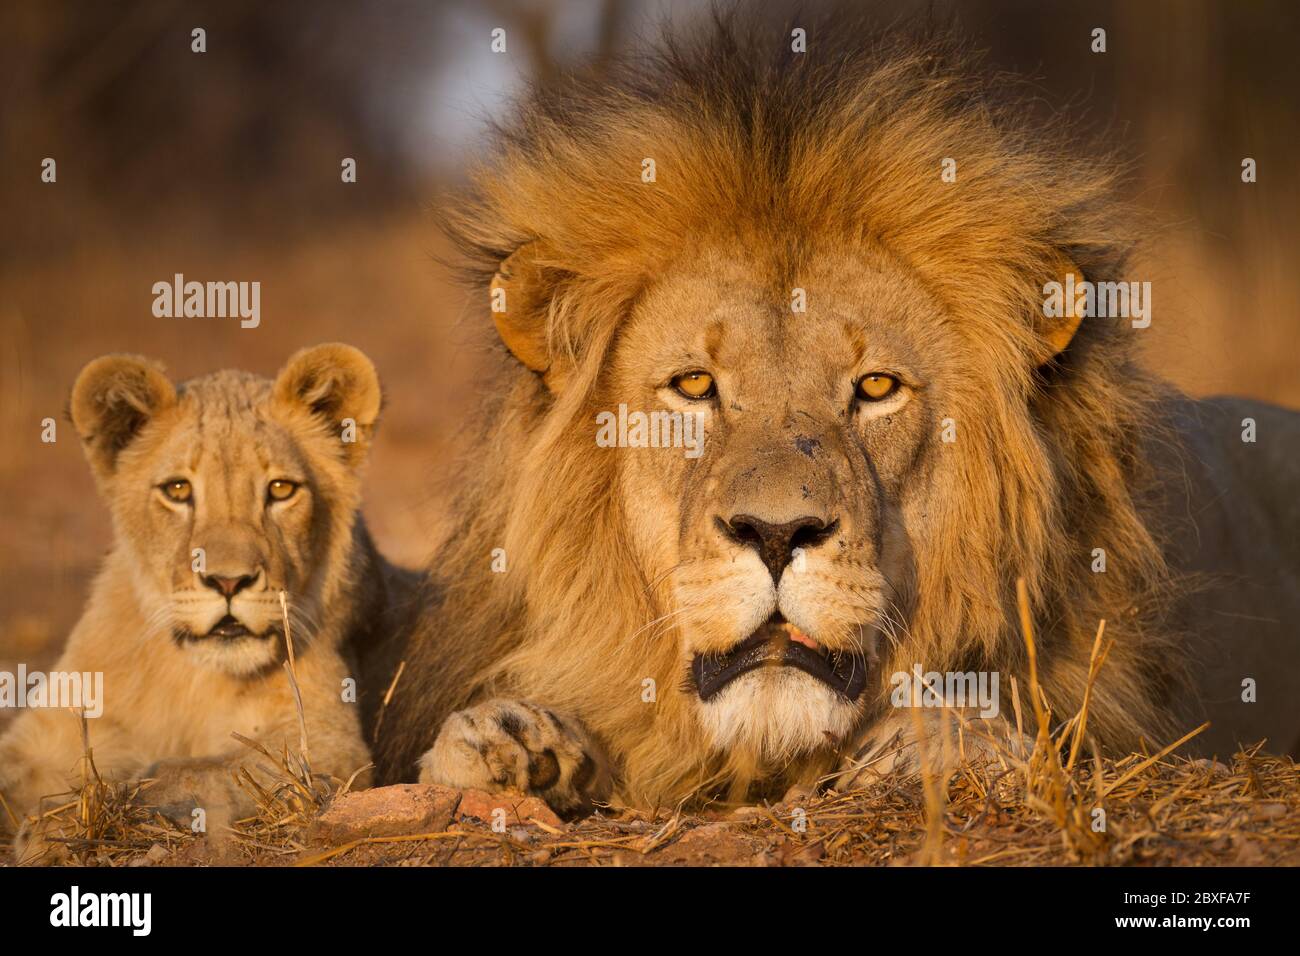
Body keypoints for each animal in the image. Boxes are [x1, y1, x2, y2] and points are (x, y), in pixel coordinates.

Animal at [0, 343, 415, 861]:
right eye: (178, 490)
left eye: (281, 489)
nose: (228, 581)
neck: (189, 676)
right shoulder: (47, 736)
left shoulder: (327, 743)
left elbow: (186, 772)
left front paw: (57, 826)